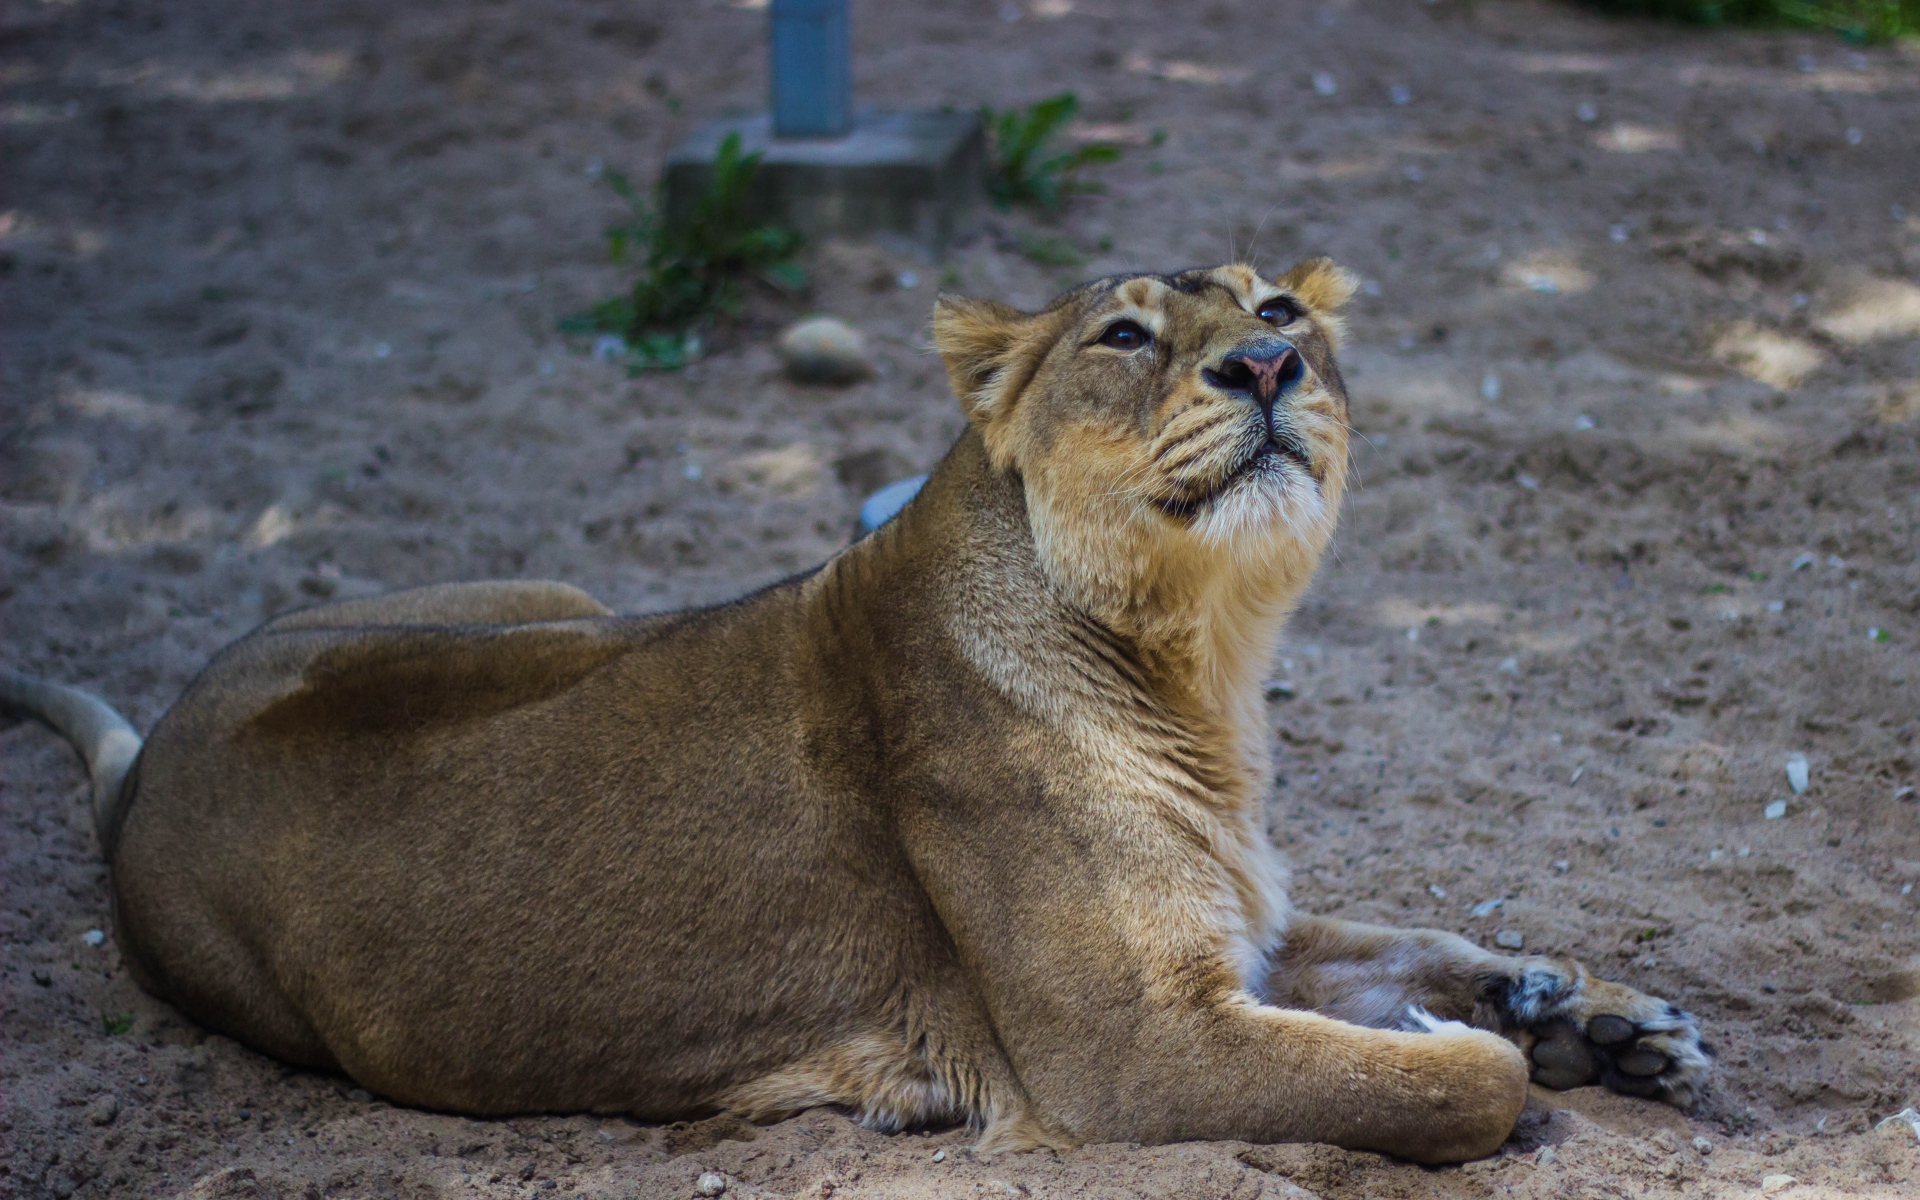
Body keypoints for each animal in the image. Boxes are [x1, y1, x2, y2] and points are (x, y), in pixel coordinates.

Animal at [1, 261, 1708, 1164]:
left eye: (1282, 301)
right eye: (1125, 335)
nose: (1272, 358)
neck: (1200, 671)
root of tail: (147, 770)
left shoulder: (1241, 937)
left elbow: (1410, 937)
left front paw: (1600, 1020)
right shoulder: (1133, 1052)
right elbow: (1449, 1084)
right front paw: (1497, 1046)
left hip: (556, 593)